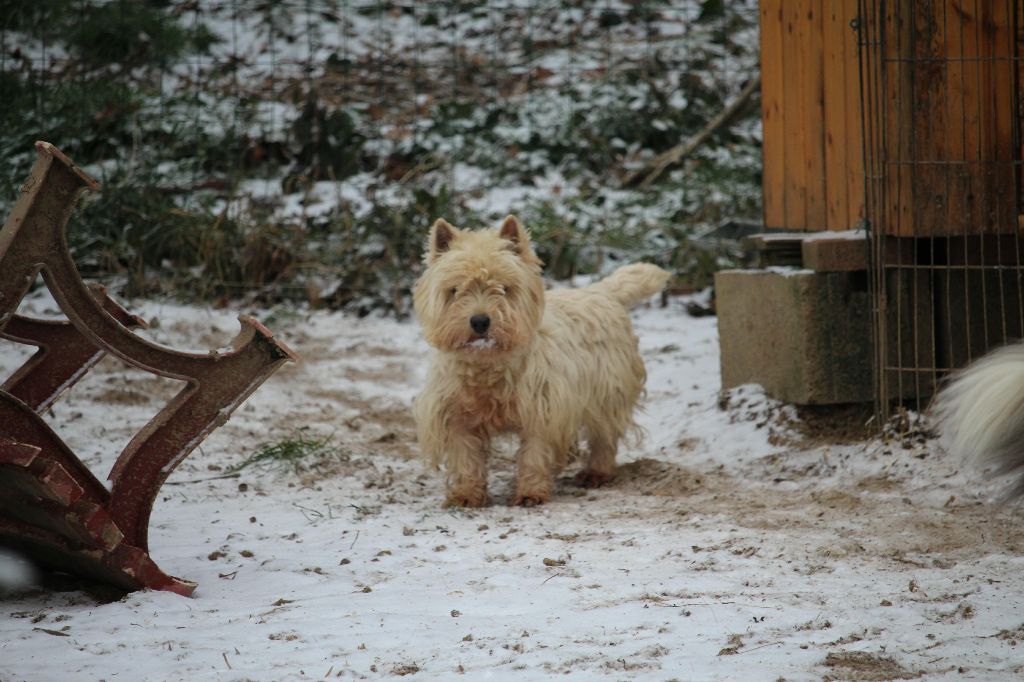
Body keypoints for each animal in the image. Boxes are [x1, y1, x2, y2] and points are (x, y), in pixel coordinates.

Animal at [411, 214, 667, 503]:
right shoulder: (456, 417)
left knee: (605, 435)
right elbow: (466, 458)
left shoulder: (542, 410)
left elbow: (534, 454)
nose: (479, 322)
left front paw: (530, 493)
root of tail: (603, 292)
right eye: (455, 290)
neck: (488, 365)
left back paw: (595, 472)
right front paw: (466, 494)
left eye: (504, 288)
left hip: (607, 391)